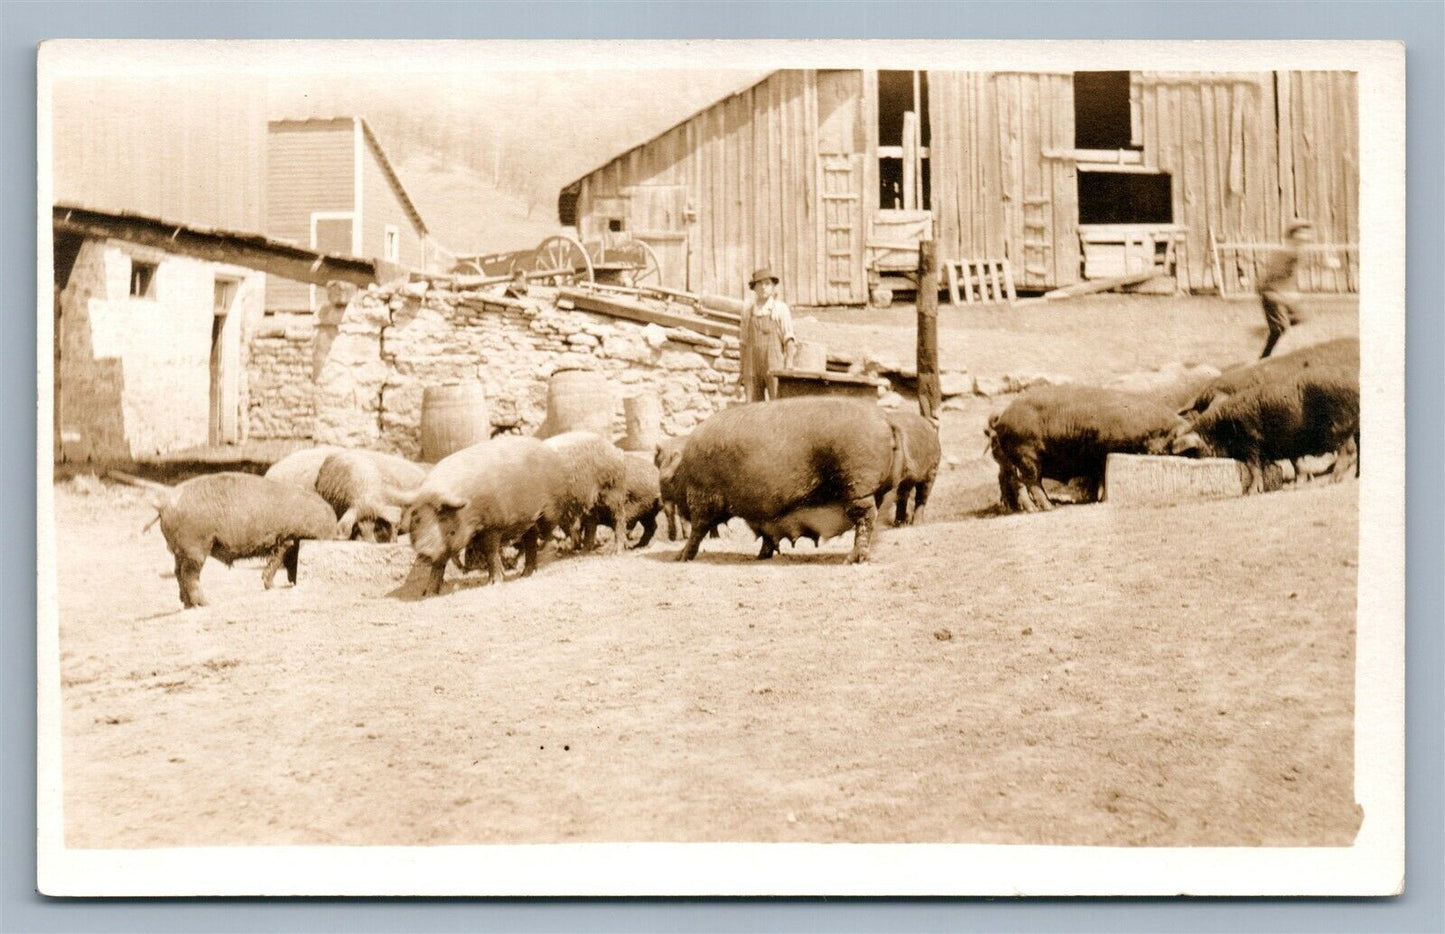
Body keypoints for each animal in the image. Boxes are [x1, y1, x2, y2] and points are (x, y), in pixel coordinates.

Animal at [150, 472, 340, 609]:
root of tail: (164, 506)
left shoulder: (288, 541)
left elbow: (287, 562)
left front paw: (283, 583)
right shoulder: (288, 539)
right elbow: (279, 560)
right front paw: (273, 585)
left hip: (180, 549)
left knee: (177, 572)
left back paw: (187, 605)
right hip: (195, 546)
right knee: (189, 574)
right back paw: (205, 604)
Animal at [397, 436, 568, 595]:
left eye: (441, 516)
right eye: (417, 518)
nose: (423, 552)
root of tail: (548, 449)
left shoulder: (493, 526)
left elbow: (490, 553)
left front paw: (494, 583)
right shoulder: (444, 546)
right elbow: (438, 565)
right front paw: (428, 592)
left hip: (551, 509)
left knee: (546, 532)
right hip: (527, 521)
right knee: (530, 539)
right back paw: (525, 574)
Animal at [672, 397, 904, 564]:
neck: (685, 473)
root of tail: (886, 419)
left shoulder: (702, 497)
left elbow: (698, 529)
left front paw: (680, 558)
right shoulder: (761, 512)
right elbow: (765, 533)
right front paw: (761, 556)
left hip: (858, 484)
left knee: (865, 518)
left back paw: (852, 560)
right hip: (879, 489)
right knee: (874, 519)